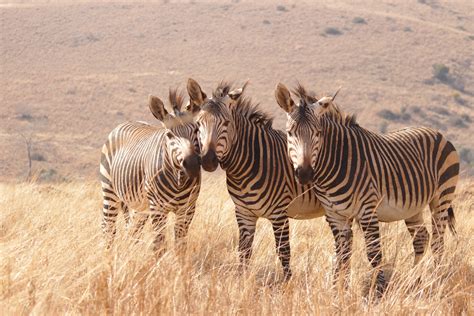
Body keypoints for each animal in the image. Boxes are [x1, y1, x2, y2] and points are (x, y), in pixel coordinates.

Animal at [101, 89, 201, 252]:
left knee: (132, 229)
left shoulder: (188, 210)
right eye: (169, 135)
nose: (192, 164)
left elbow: (180, 245)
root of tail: (127, 122)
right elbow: (159, 245)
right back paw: (107, 254)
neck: (179, 180)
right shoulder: (157, 208)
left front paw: (180, 260)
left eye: (197, 130)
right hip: (109, 191)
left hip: (140, 206)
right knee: (108, 227)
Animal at [186, 78, 326, 280]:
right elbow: (244, 251)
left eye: (226, 123)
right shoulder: (244, 213)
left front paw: (288, 283)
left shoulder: (279, 213)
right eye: (198, 124)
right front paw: (241, 281)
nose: (208, 160)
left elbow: (284, 252)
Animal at [274, 82, 460, 296]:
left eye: (318, 133)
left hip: (442, 197)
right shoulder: (335, 215)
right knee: (421, 238)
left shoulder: (367, 210)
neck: (337, 162)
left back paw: (435, 281)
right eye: (290, 133)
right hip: (413, 206)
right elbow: (342, 255)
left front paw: (379, 291)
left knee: (438, 242)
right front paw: (339, 291)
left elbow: (374, 254)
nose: (304, 174)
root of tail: (437, 132)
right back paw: (414, 280)